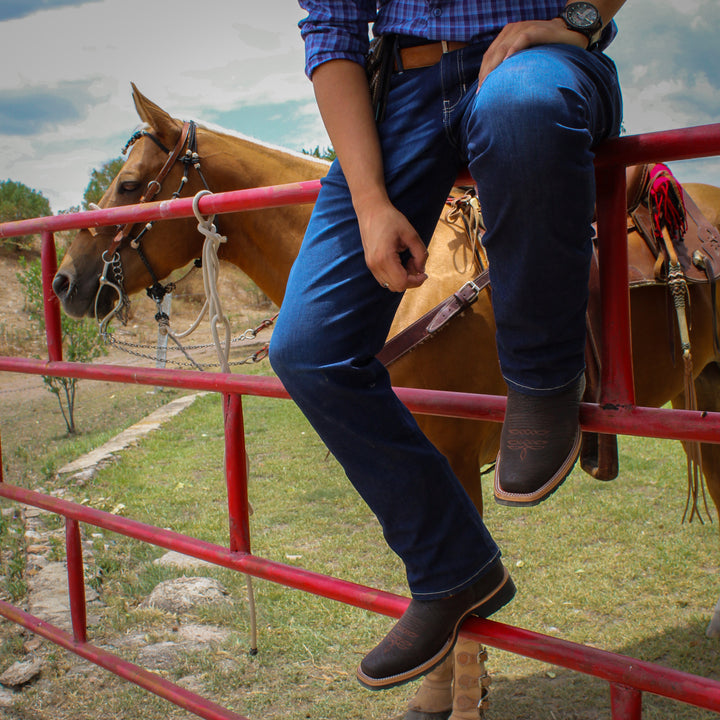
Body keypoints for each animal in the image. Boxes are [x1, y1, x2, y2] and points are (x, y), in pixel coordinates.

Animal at [52, 87, 720, 716]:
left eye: (129, 185)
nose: (64, 282)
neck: (402, 291)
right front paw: (436, 693)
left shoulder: (452, 454)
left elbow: (466, 605)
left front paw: (458, 699)